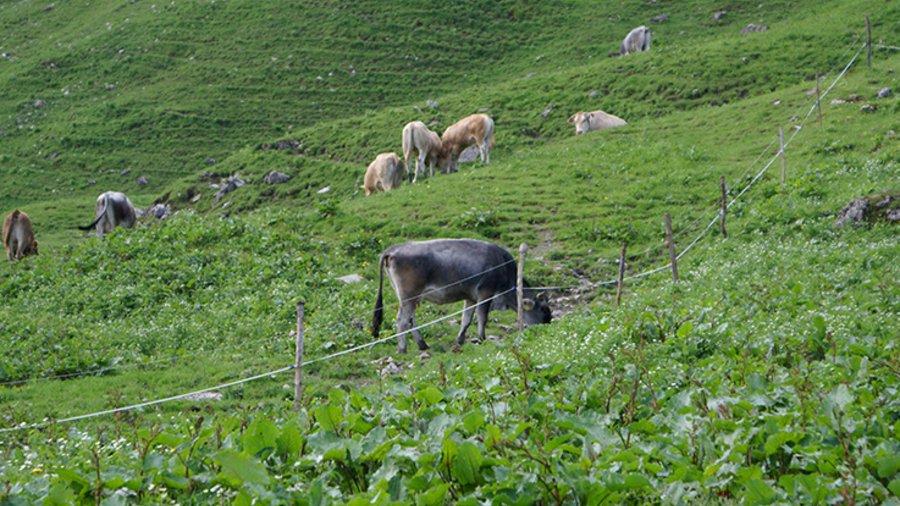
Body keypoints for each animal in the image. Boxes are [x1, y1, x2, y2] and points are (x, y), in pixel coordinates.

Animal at [370, 239, 552, 354]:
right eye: (543, 310)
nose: (548, 324)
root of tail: (394, 248)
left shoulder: (470, 297)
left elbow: (466, 319)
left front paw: (460, 340)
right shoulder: (485, 293)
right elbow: (482, 317)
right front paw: (481, 338)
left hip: (410, 298)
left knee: (410, 320)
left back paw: (422, 344)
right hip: (409, 296)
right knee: (402, 321)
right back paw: (402, 348)